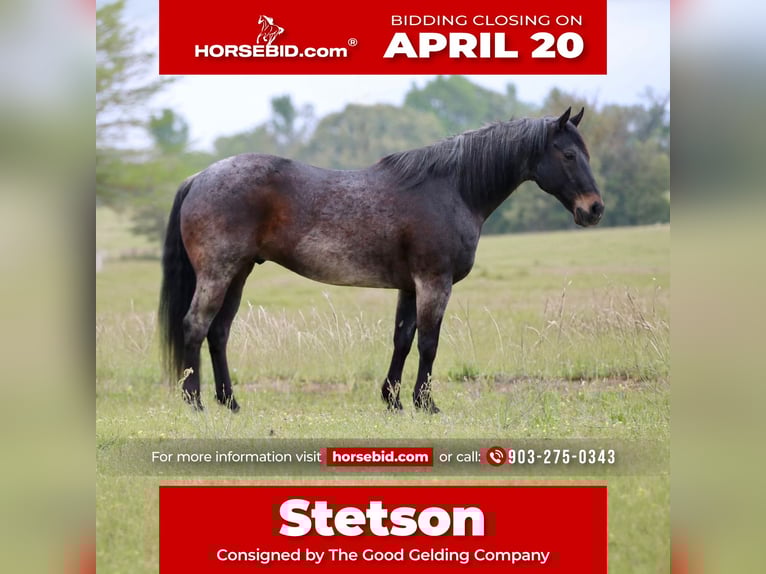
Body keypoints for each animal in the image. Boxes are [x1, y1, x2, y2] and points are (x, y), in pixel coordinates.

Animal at [159, 107, 604, 414]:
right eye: (567, 155)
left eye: (585, 153)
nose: (594, 209)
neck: (451, 188)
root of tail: (199, 177)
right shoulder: (433, 281)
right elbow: (428, 343)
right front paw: (426, 403)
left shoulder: (410, 285)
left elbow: (403, 340)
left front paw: (393, 400)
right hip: (218, 273)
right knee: (195, 326)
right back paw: (195, 402)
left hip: (239, 273)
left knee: (219, 332)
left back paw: (230, 402)